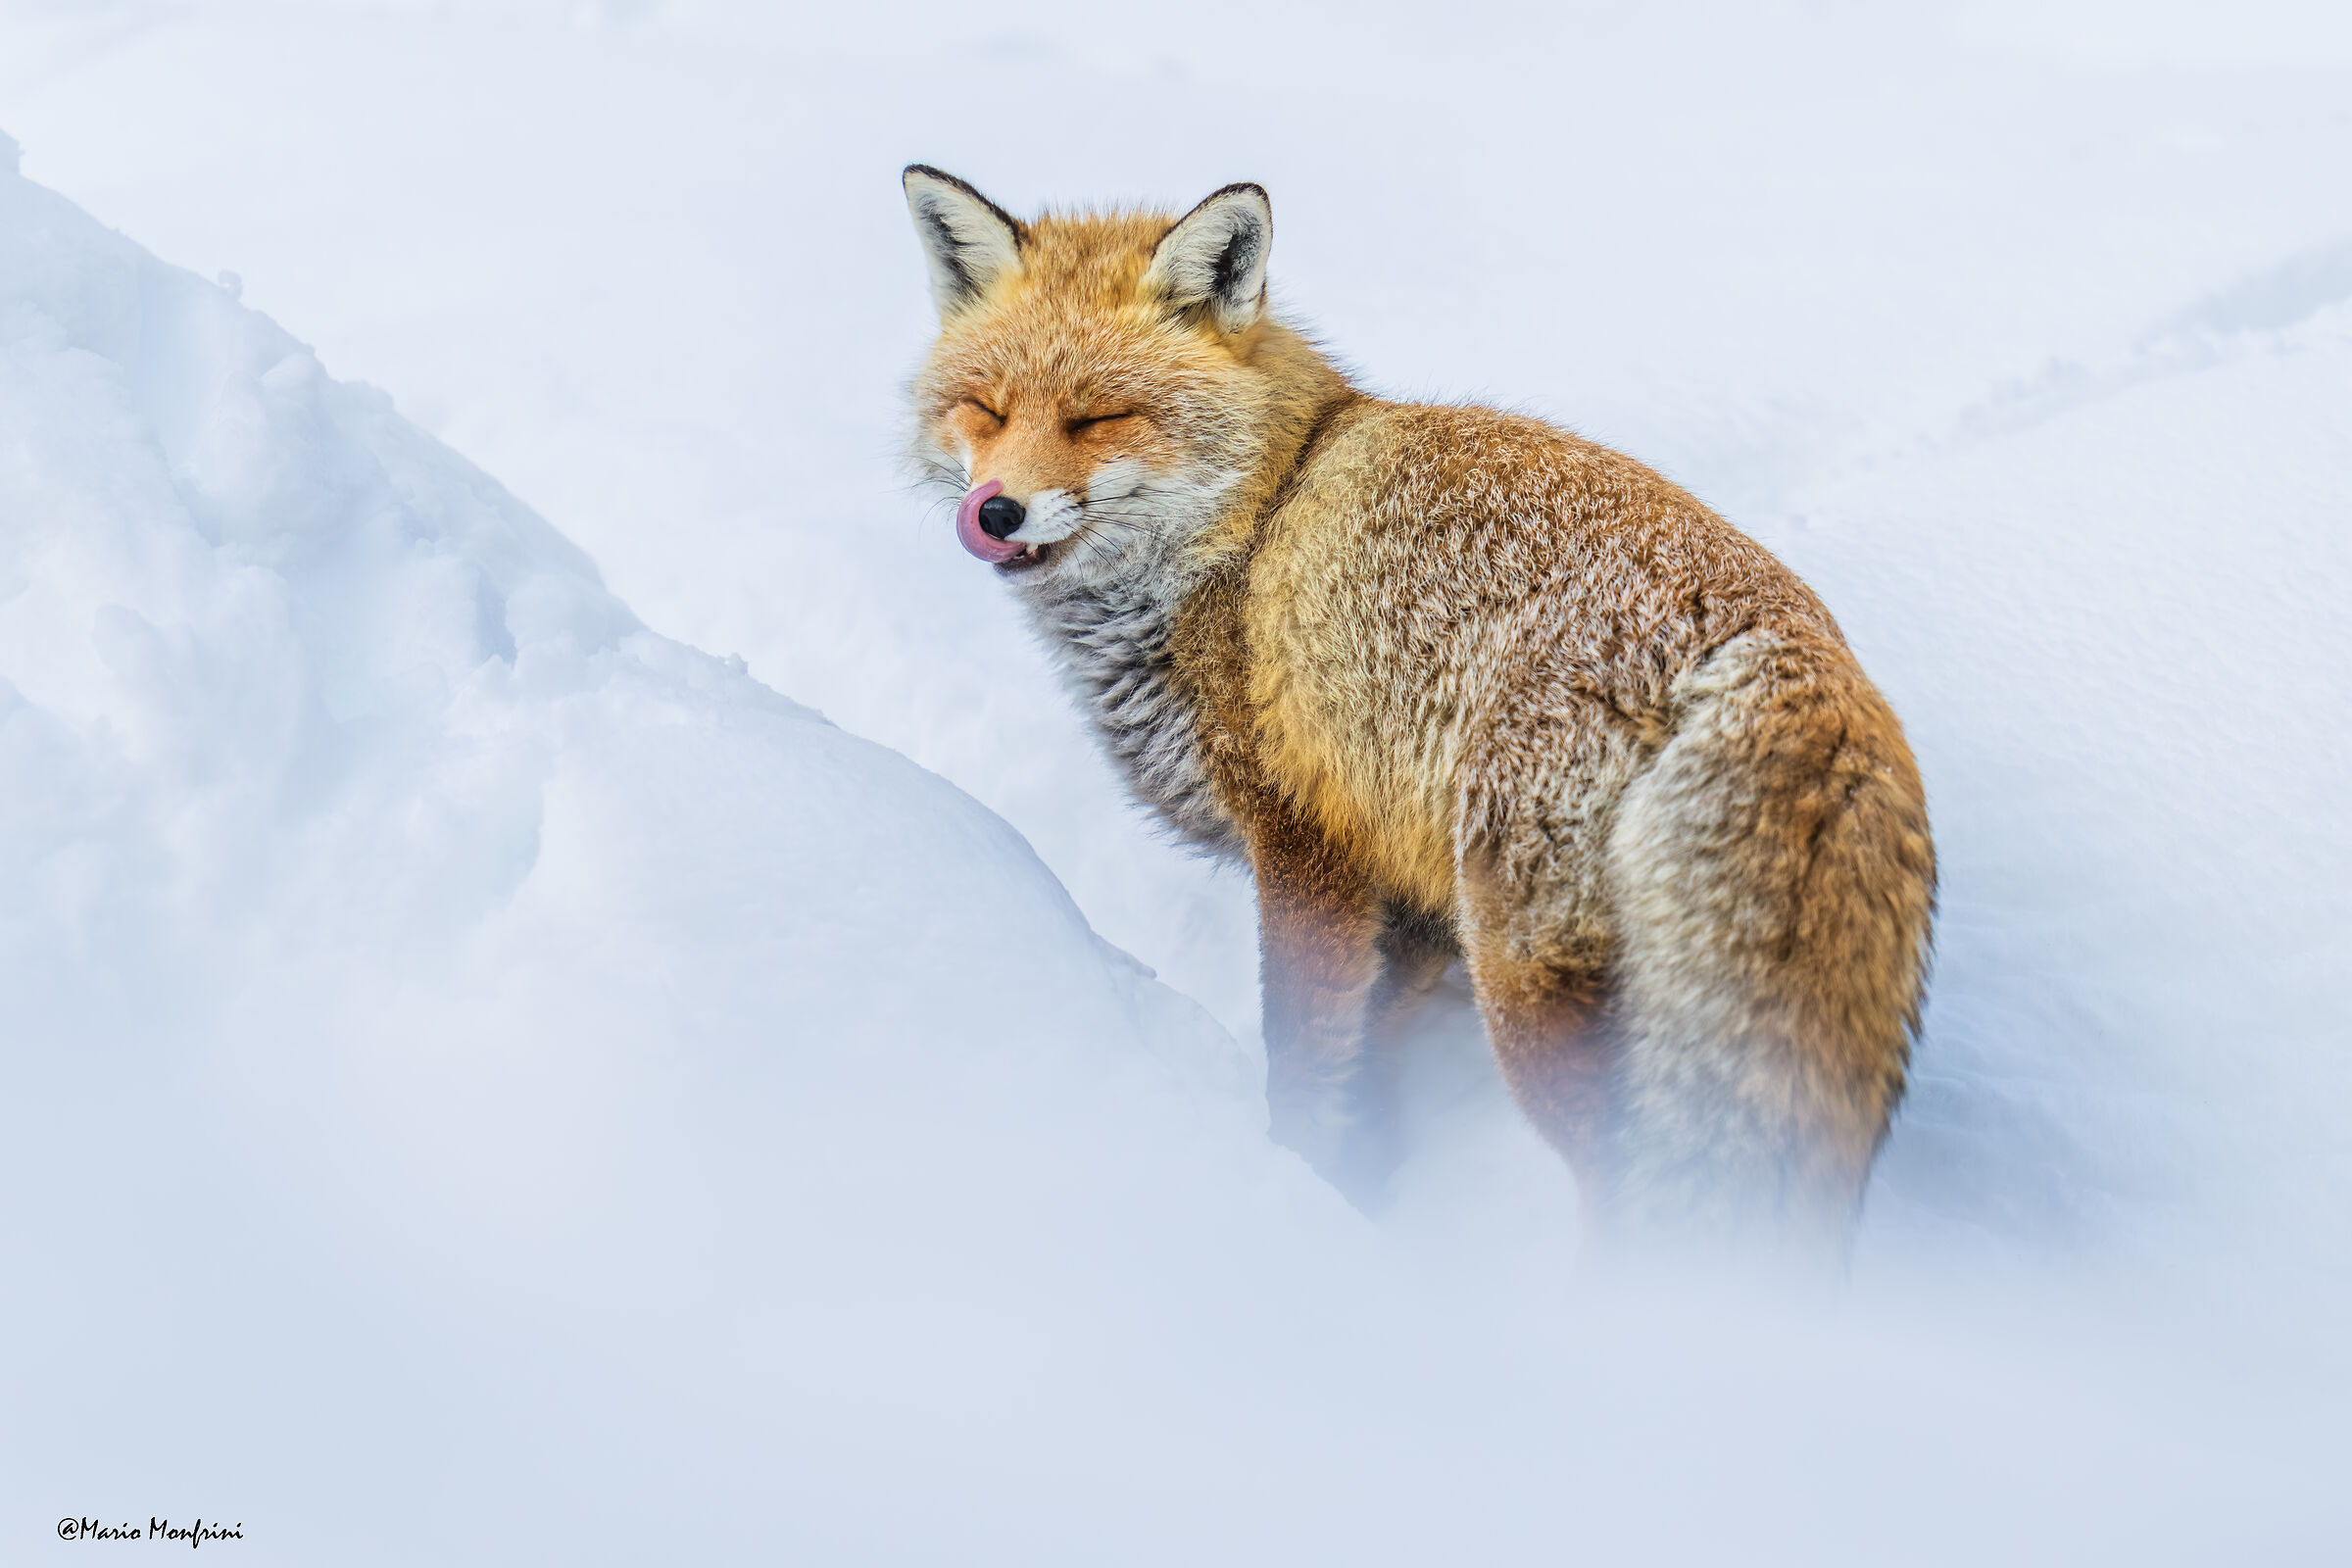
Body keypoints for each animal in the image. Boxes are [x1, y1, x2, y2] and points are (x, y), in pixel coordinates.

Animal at [900, 165, 1936, 1264]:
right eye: (985, 408)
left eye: (1101, 417)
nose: (995, 510)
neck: (1250, 526)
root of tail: (1777, 639)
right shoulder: (1405, 903)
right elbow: (1359, 1073)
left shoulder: (1306, 849)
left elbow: (1301, 1071)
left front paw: (1294, 1194)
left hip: (1526, 981)